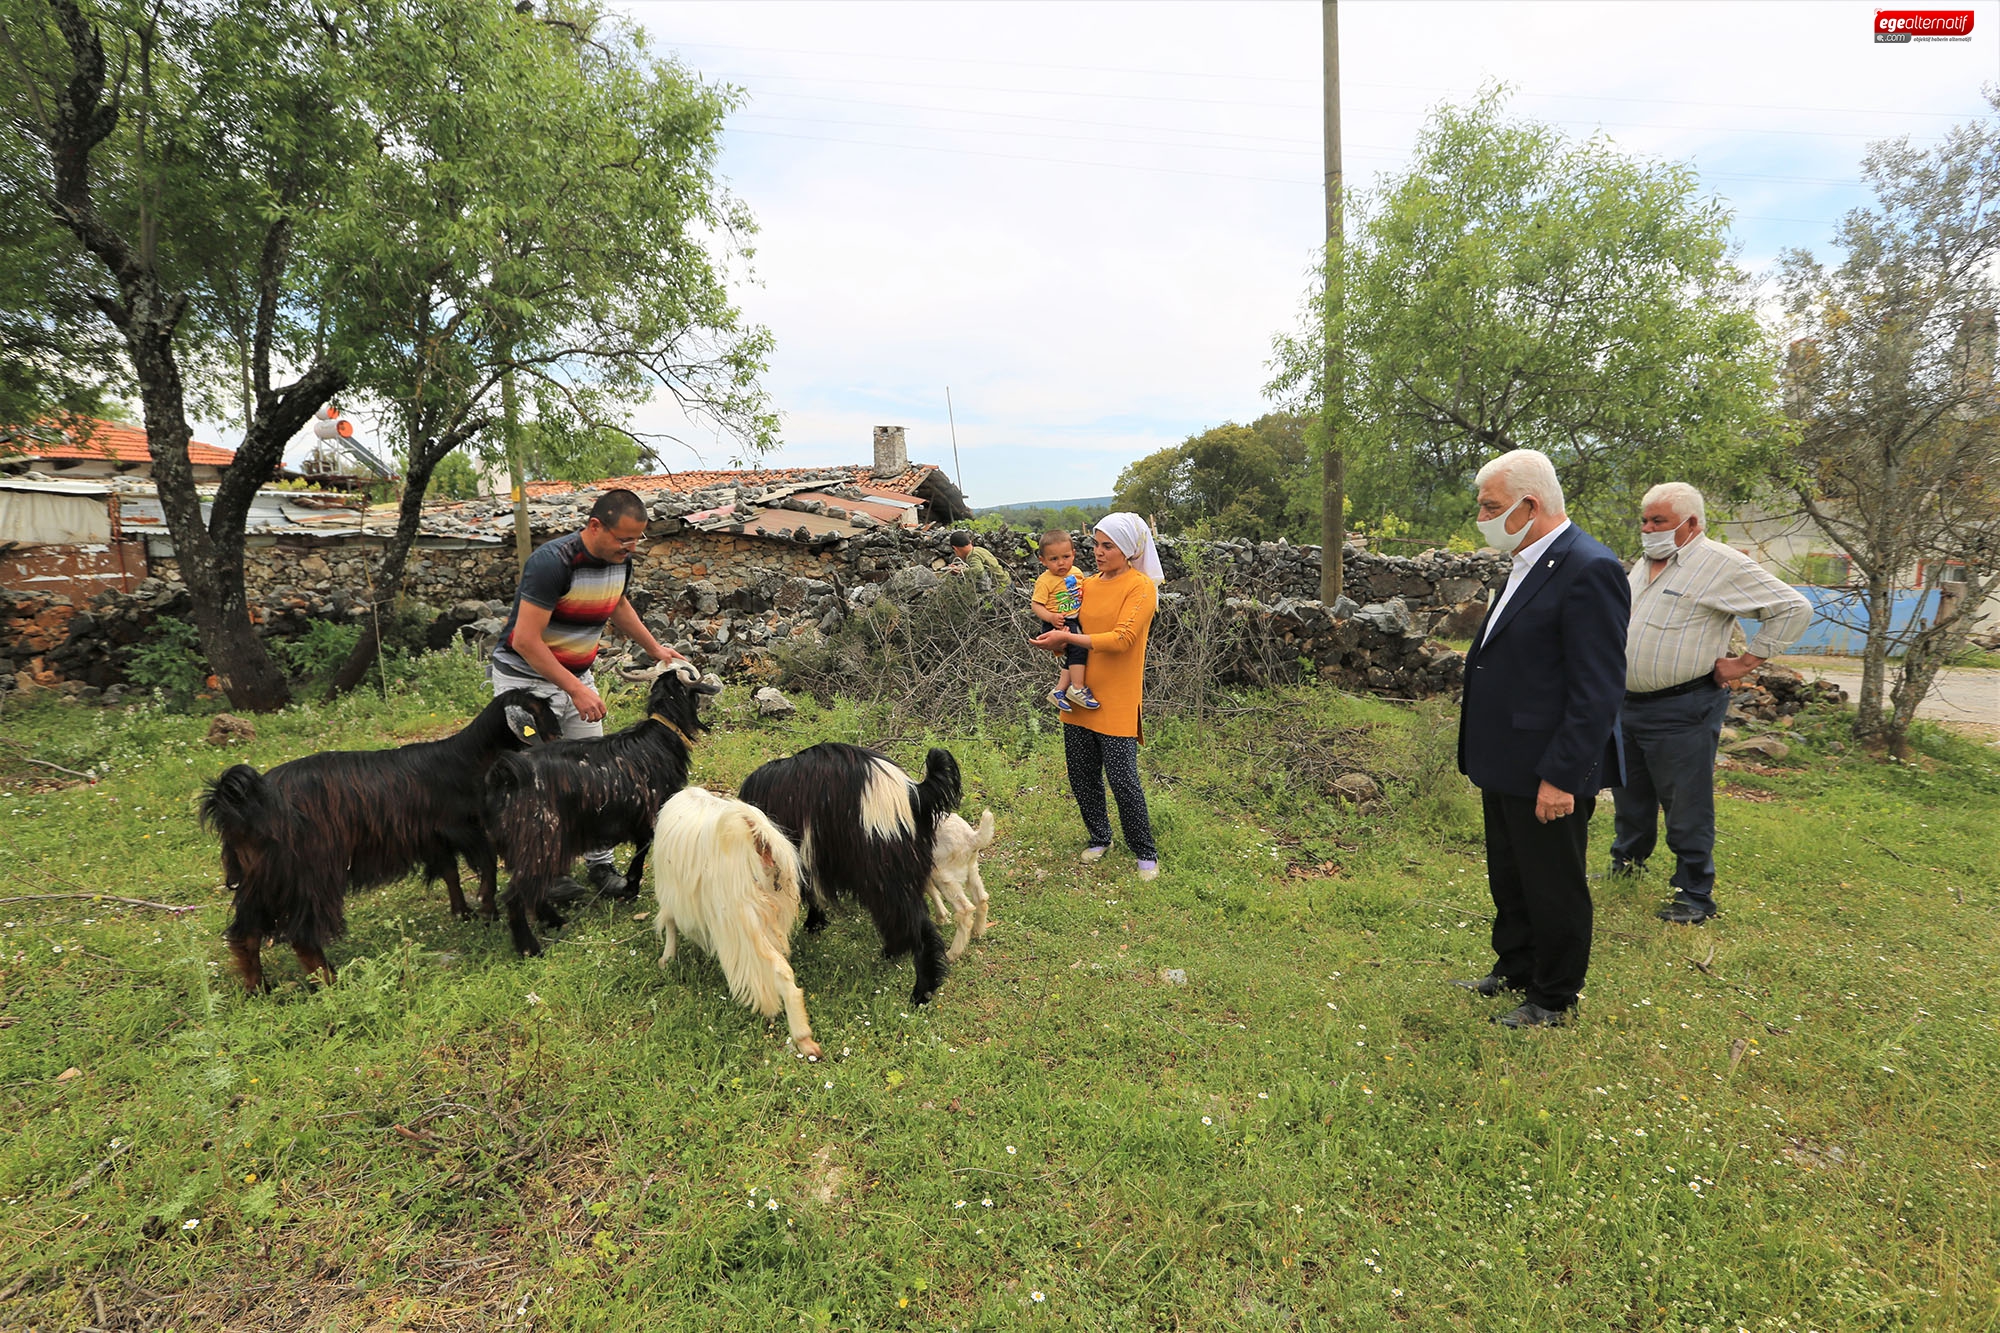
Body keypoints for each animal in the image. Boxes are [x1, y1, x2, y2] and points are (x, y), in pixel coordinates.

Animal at [200, 684, 560, 984]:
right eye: (541, 714)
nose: (559, 737)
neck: (466, 758)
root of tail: (245, 800)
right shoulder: (459, 827)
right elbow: (485, 860)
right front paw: (487, 909)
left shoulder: (432, 837)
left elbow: (450, 872)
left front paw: (463, 912)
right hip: (309, 871)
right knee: (301, 935)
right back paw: (331, 981)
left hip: (261, 875)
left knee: (246, 933)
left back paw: (257, 988)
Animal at [482, 656, 720, 956]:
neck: (661, 736)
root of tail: (503, 777)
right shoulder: (650, 817)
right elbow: (640, 855)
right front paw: (631, 889)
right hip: (538, 839)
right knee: (515, 896)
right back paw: (530, 947)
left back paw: (555, 921)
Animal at [740, 740, 964, 1000]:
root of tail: (914, 794)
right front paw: (816, 923)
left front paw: (813, 924)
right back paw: (894, 954)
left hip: (883, 871)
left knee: (915, 924)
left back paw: (921, 991)